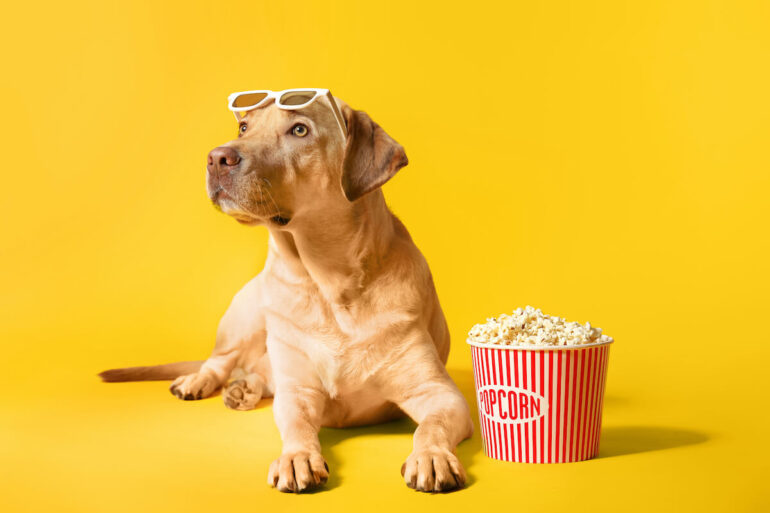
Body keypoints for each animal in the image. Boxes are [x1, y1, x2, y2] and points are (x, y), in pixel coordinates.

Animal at [100, 92, 474, 492]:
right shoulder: (298, 391)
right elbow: (296, 425)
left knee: (260, 374)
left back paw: (244, 388)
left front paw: (432, 455)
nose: (217, 158)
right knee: (221, 361)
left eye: (299, 130)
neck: (330, 285)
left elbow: (429, 427)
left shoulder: (440, 394)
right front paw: (297, 457)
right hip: (244, 315)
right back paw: (202, 381)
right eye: (243, 127)